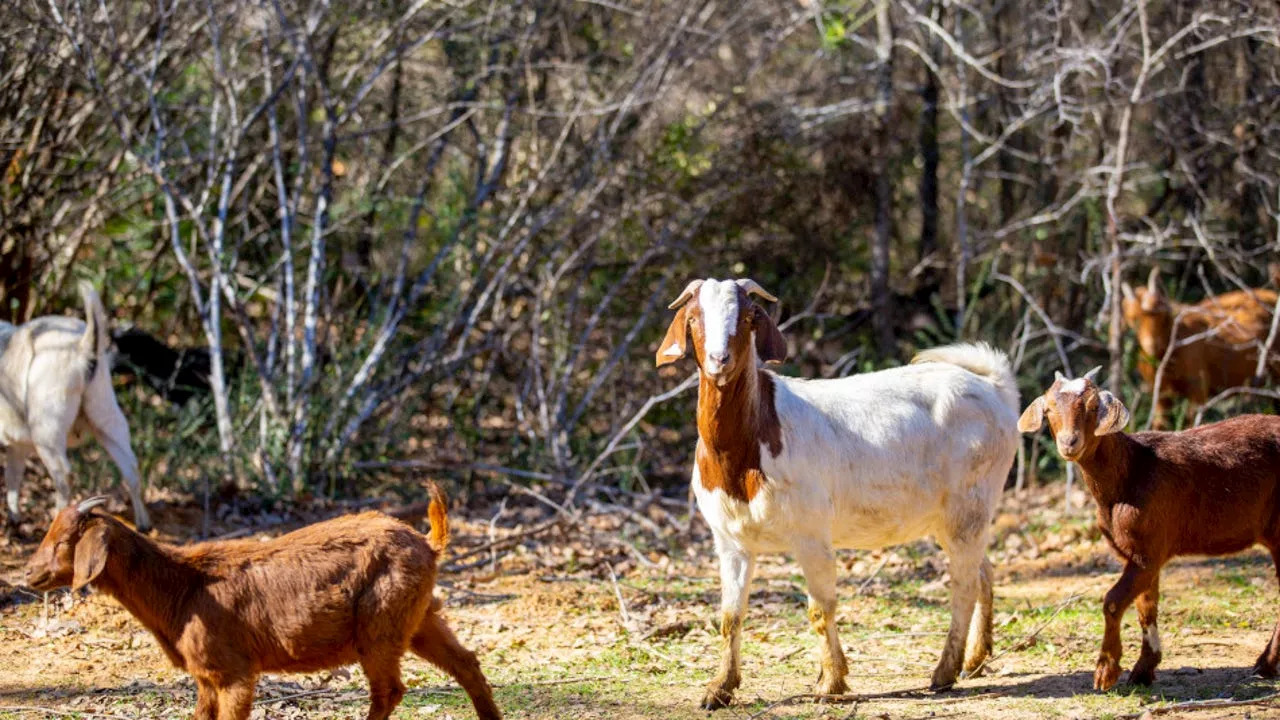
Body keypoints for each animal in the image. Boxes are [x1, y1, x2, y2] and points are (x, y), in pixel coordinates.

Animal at [0, 283, 151, 530]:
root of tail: (83, 346)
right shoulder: (16, 445)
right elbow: (13, 477)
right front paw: (14, 518)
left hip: (46, 430)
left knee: (64, 475)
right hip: (106, 413)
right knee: (131, 468)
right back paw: (143, 524)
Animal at [22, 486, 499, 717]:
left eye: (64, 541)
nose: (28, 573)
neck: (183, 588)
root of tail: (429, 543)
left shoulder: (235, 672)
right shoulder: (206, 677)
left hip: (380, 626)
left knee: (389, 691)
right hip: (419, 618)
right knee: (466, 664)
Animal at [660, 275, 1018, 707]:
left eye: (747, 317)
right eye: (694, 318)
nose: (719, 360)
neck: (752, 439)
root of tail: (995, 388)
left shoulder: (811, 534)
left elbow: (821, 609)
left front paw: (831, 681)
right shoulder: (730, 540)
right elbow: (731, 616)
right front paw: (719, 688)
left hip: (969, 502)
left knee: (963, 587)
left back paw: (944, 672)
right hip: (954, 516)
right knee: (983, 570)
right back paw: (975, 659)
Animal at [1018, 368, 1280, 691]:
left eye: (1092, 407)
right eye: (1050, 410)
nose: (1069, 442)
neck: (1130, 470)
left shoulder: (1148, 549)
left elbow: (1113, 601)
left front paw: (1106, 672)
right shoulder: (1138, 553)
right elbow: (1146, 606)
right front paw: (1144, 669)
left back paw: (1265, 664)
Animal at [1121, 266, 1280, 427]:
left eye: (1162, 315)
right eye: (1133, 319)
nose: (1152, 345)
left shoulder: (1197, 389)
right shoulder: (1160, 394)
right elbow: (1160, 424)